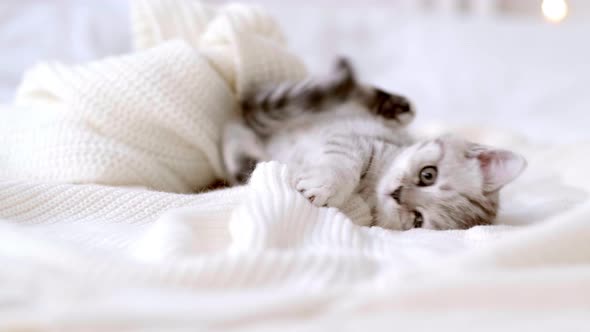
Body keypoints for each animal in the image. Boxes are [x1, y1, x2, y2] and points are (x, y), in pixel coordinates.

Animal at [222, 58, 528, 230]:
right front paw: (323, 186)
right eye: (428, 175)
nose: (397, 194)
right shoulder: (350, 140)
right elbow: (341, 164)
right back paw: (395, 106)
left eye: (418, 220)